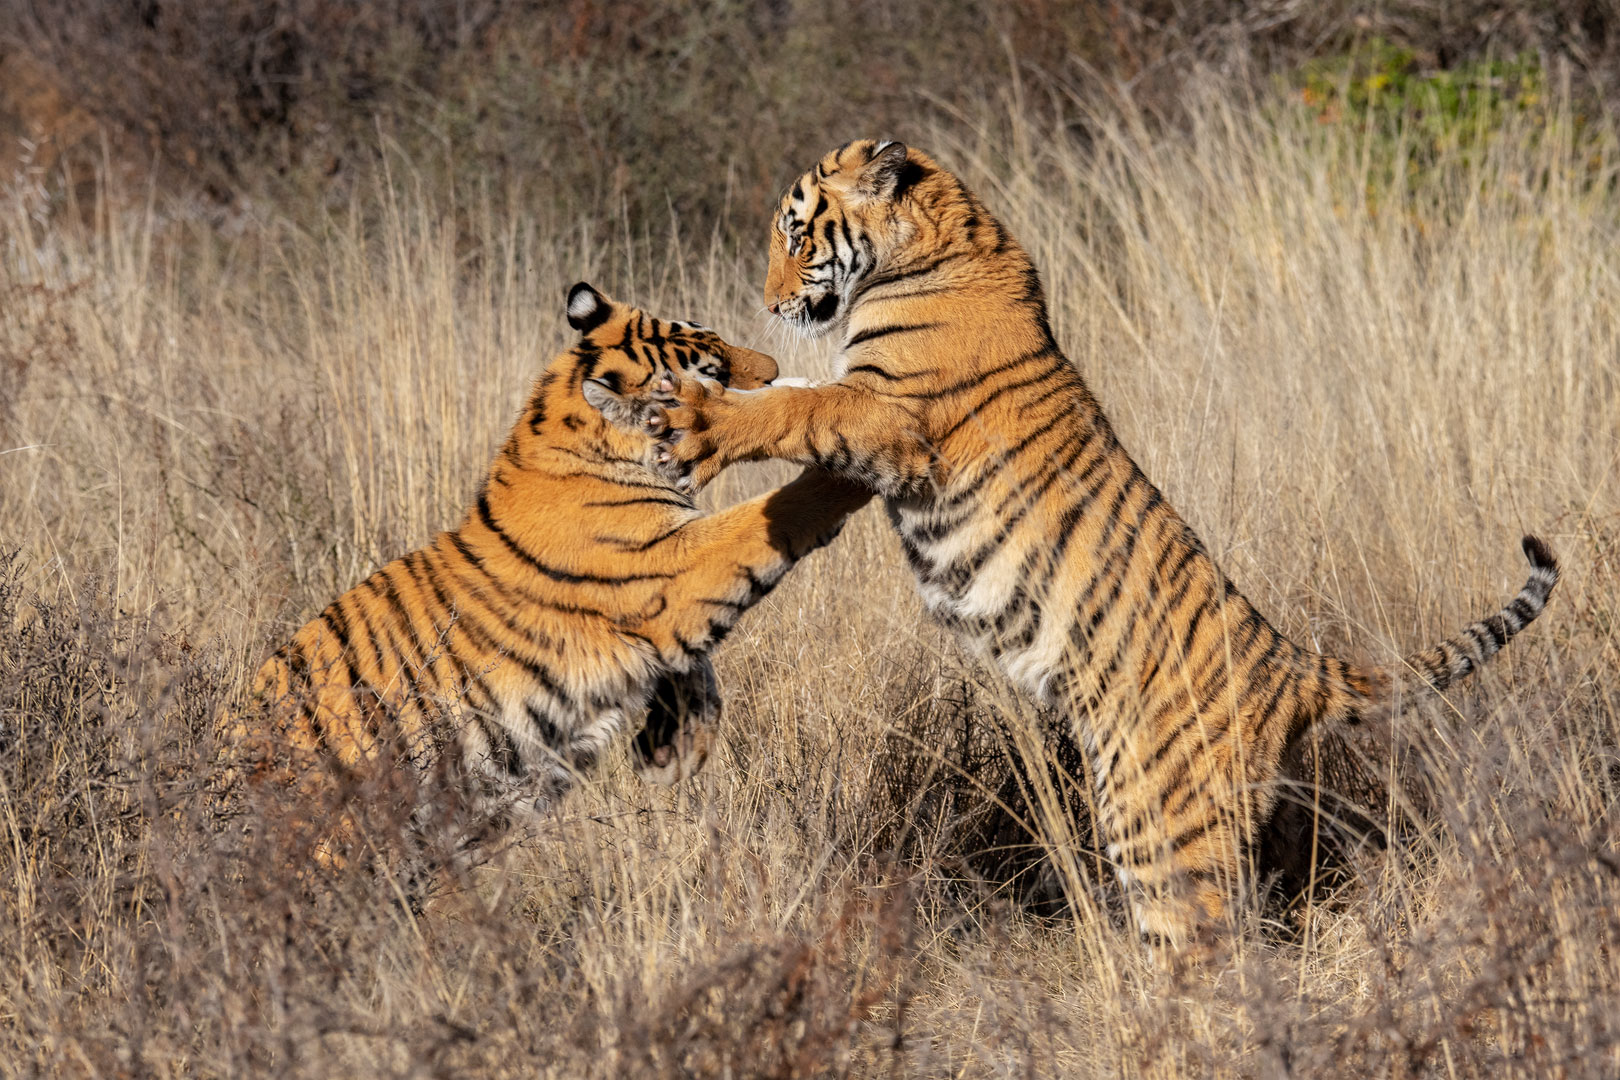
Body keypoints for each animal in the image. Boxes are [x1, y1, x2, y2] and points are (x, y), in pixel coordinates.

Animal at [225, 283, 874, 854]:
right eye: (712, 371)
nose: (774, 370)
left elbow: (699, 670)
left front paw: (675, 749)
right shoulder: (668, 572)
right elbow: (763, 520)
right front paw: (857, 446)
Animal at [657, 139, 1555, 952]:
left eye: (797, 236)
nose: (769, 305)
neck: (942, 235)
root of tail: (1295, 666)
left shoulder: (890, 414)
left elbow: (796, 408)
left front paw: (697, 416)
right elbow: (797, 412)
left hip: (1162, 820)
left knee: (1210, 955)